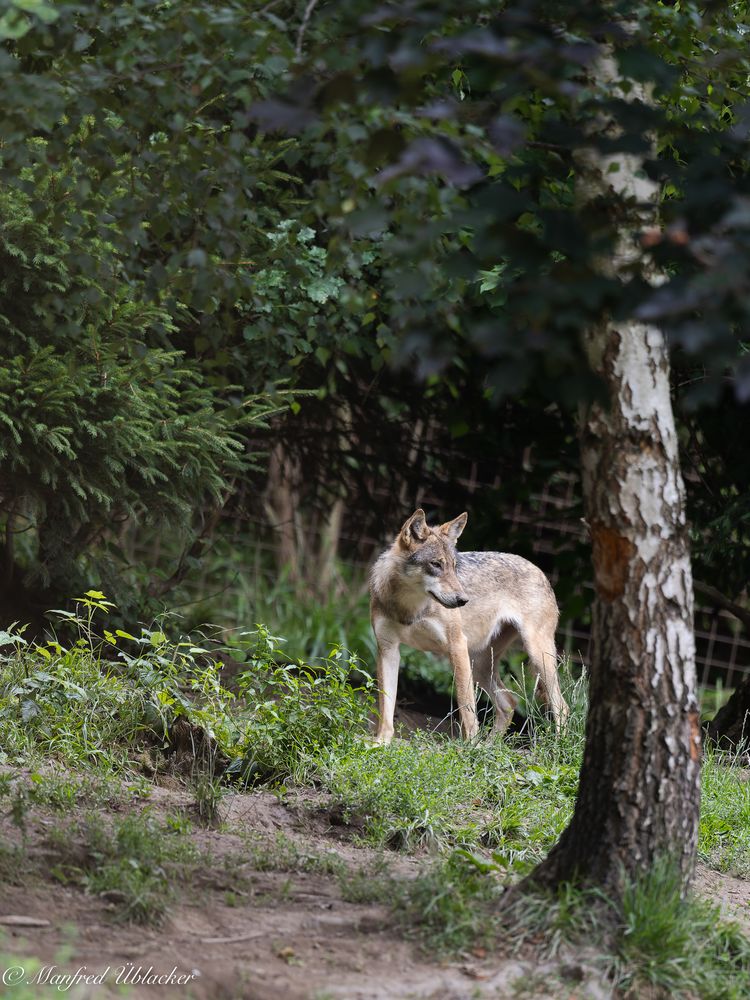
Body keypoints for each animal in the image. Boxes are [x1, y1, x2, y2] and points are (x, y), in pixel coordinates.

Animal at [370, 508, 568, 744]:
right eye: (436, 564)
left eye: (454, 567)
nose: (463, 600)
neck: (410, 608)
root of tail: (540, 571)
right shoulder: (388, 649)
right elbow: (386, 706)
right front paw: (380, 743)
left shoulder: (456, 645)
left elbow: (467, 708)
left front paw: (469, 746)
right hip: (480, 663)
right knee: (508, 702)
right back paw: (489, 747)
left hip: (536, 655)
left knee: (561, 707)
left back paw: (556, 749)